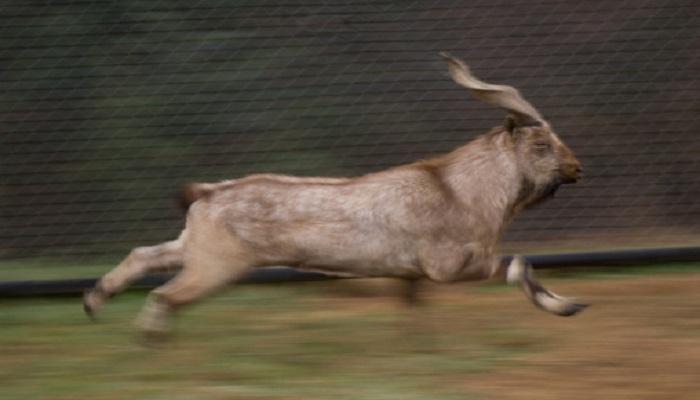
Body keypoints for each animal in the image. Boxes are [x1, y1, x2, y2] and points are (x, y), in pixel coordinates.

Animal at [83, 51, 584, 336]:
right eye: (541, 144)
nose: (576, 167)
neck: (461, 190)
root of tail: (207, 193)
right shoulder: (448, 267)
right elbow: (519, 264)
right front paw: (567, 306)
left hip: (196, 247)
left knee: (144, 255)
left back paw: (94, 301)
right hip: (216, 265)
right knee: (166, 296)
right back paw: (150, 338)